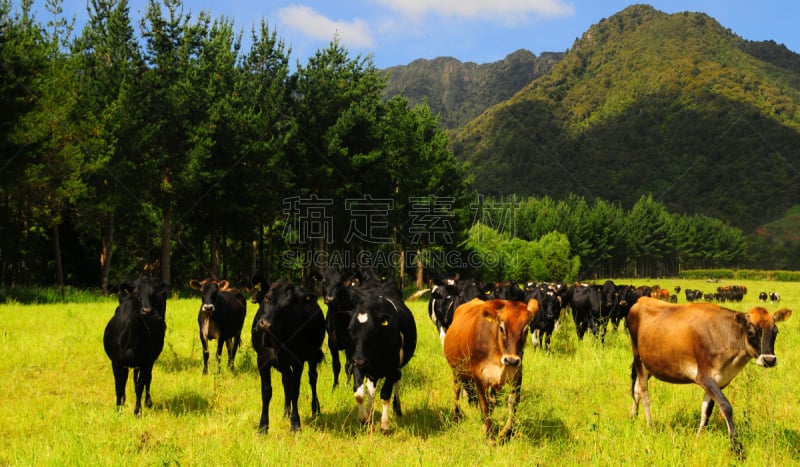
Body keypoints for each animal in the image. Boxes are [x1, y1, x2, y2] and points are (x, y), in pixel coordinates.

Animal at [102, 276, 168, 414]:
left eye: (153, 294)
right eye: (136, 294)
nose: (147, 311)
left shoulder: (146, 361)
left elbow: (140, 386)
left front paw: (137, 411)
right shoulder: (116, 361)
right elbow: (119, 385)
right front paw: (118, 409)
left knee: (147, 379)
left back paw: (148, 402)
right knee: (126, 379)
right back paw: (123, 400)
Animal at [346, 284, 416, 434]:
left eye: (372, 331)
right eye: (350, 330)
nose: (360, 359)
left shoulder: (392, 368)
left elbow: (385, 394)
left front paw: (385, 425)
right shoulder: (357, 364)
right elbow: (359, 393)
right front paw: (364, 419)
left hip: (397, 369)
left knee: (396, 382)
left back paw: (397, 410)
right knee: (371, 390)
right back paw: (369, 412)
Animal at [444, 298, 536, 444]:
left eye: (525, 329)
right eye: (502, 328)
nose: (511, 360)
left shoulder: (517, 375)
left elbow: (512, 403)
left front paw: (505, 433)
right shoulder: (478, 377)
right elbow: (484, 405)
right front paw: (491, 437)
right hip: (456, 370)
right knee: (457, 391)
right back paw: (456, 417)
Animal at [628, 298, 792, 456]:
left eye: (776, 331)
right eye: (751, 332)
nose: (769, 360)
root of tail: (642, 300)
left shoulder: (719, 380)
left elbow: (707, 411)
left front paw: (698, 440)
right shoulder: (703, 377)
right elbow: (725, 406)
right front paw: (736, 448)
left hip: (649, 364)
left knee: (636, 389)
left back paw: (633, 417)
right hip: (638, 358)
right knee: (644, 393)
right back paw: (650, 426)